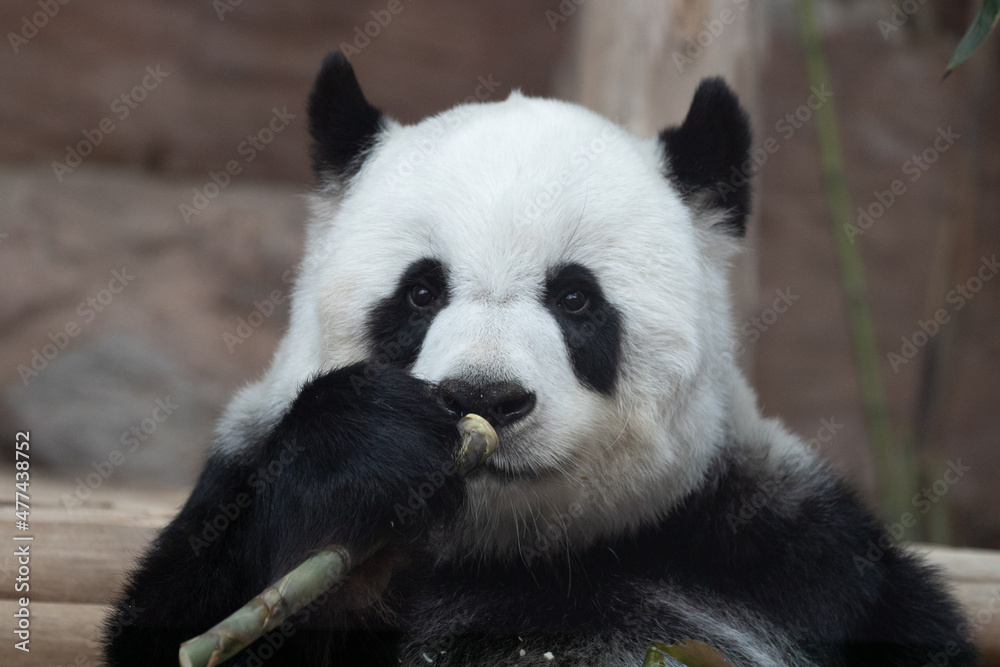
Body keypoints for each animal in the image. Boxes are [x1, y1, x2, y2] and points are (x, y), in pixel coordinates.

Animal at [101, 53, 976, 667]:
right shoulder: (237, 494)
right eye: (421, 292)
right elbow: (185, 618)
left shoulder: (786, 558)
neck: (517, 553)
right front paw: (366, 449)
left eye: (576, 298)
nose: (485, 397)